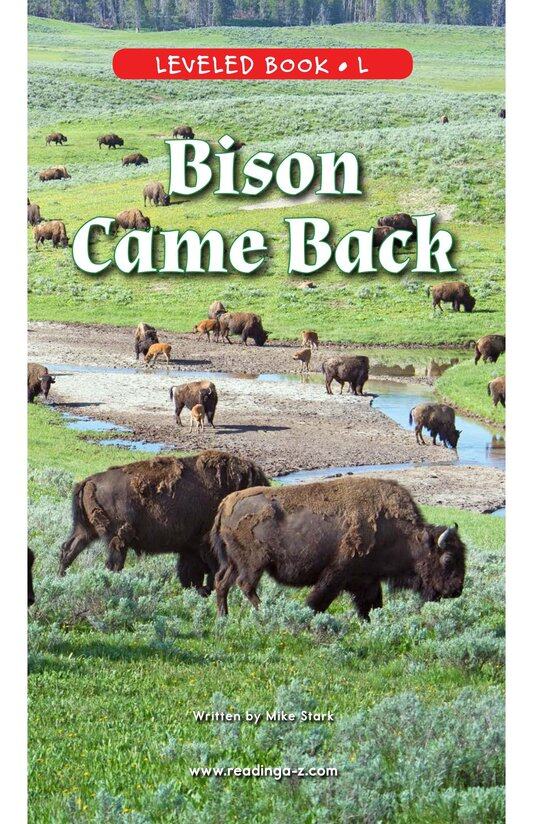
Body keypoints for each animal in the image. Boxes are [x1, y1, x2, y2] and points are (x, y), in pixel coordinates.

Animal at [59, 451, 269, 596]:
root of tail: (88, 481)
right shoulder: (204, 546)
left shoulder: (191, 548)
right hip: (116, 539)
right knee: (112, 563)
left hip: (85, 531)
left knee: (69, 550)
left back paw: (60, 577)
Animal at [211, 477, 466, 618]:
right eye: (447, 559)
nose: (456, 591)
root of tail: (226, 503)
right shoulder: (336, 574)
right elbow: (318, 601)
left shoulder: (367, 580)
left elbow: (371, 606)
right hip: (253, 563)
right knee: (245, 585)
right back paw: (265, 612)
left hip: (235, 562)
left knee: (222, 582)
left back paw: (224, 617)